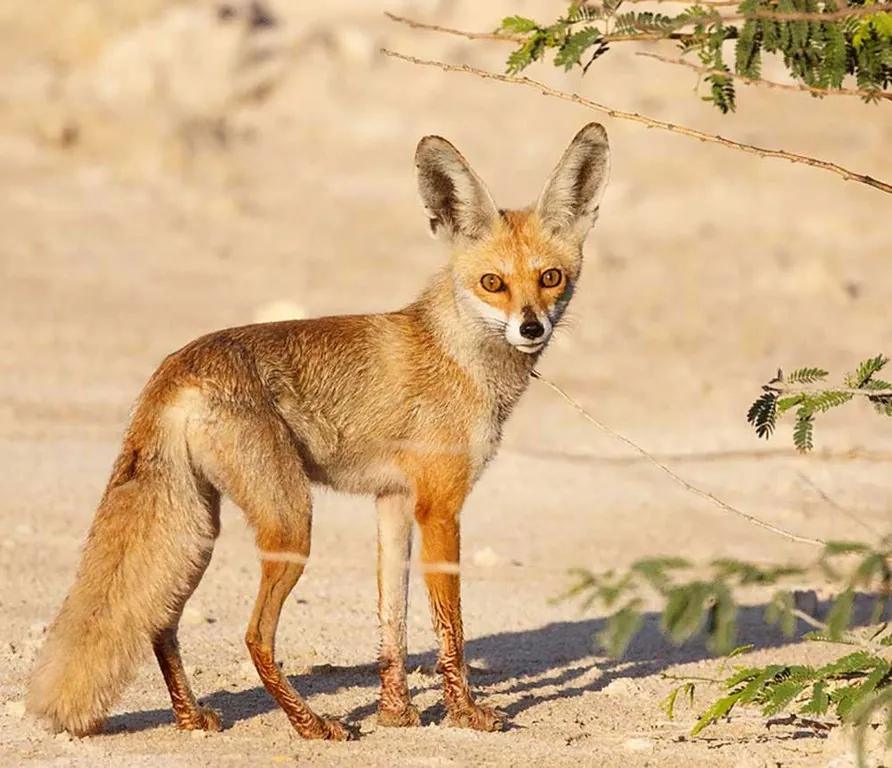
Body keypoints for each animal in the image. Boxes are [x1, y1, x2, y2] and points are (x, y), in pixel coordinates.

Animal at [26, 123, 611, 741]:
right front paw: (464, 714)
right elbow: (449, 628)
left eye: (550, 278)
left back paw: (191, 717)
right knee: (254, 635)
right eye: (492, 283)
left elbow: (393, 625)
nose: (531, 327)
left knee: (160, 622)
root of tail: (178, 365)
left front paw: (397, 714)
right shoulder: (440, 507)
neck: (459, 356)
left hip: (199, 531)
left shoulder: (394, 503)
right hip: (290, 526)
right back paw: (310, 724)